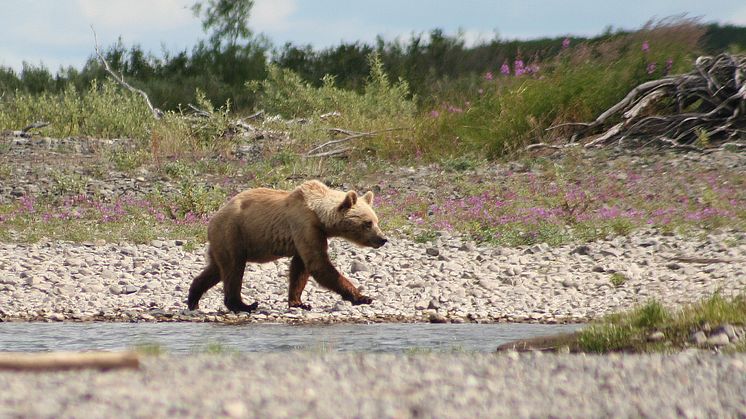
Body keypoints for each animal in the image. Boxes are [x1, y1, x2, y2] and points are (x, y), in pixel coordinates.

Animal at [186, 179, 386, 314]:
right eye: (367, 223)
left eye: (376, 221)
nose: (383, 239)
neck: (320, 217)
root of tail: (212, 219)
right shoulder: (304, 225)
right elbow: (319, 264)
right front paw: (363, 297)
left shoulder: (309, 235)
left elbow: (301, 267)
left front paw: (299, 302)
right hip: (233, 233)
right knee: (233, 269)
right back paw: (244, 305)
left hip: (223, 240)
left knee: (216, 269)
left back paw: (193, 299)